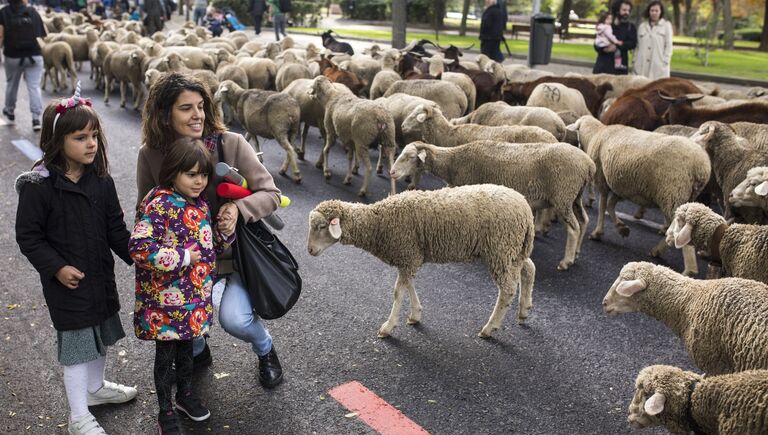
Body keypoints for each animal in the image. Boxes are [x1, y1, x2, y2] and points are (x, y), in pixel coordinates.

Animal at [306, 182, 536, 338]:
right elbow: (409, 285)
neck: (378, 223)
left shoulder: (407, 253)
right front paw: (415, 315)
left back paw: (490, 327)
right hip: (513, 249)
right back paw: (524, 310)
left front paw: (388, 327)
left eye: (322, 226)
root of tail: (525, 208)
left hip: (500, 248)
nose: (309, 250)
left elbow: (398, 291)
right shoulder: (410, 256)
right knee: (528, 268)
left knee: (507, 288)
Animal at [390, 140, 592, 270]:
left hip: (563, 194)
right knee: (584, 221)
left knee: (573, 228)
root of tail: (588, 163)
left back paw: (566, 261)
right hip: (575, 196)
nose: (392, 172)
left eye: (410, 156)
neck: (452, 163)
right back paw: (577, 253)